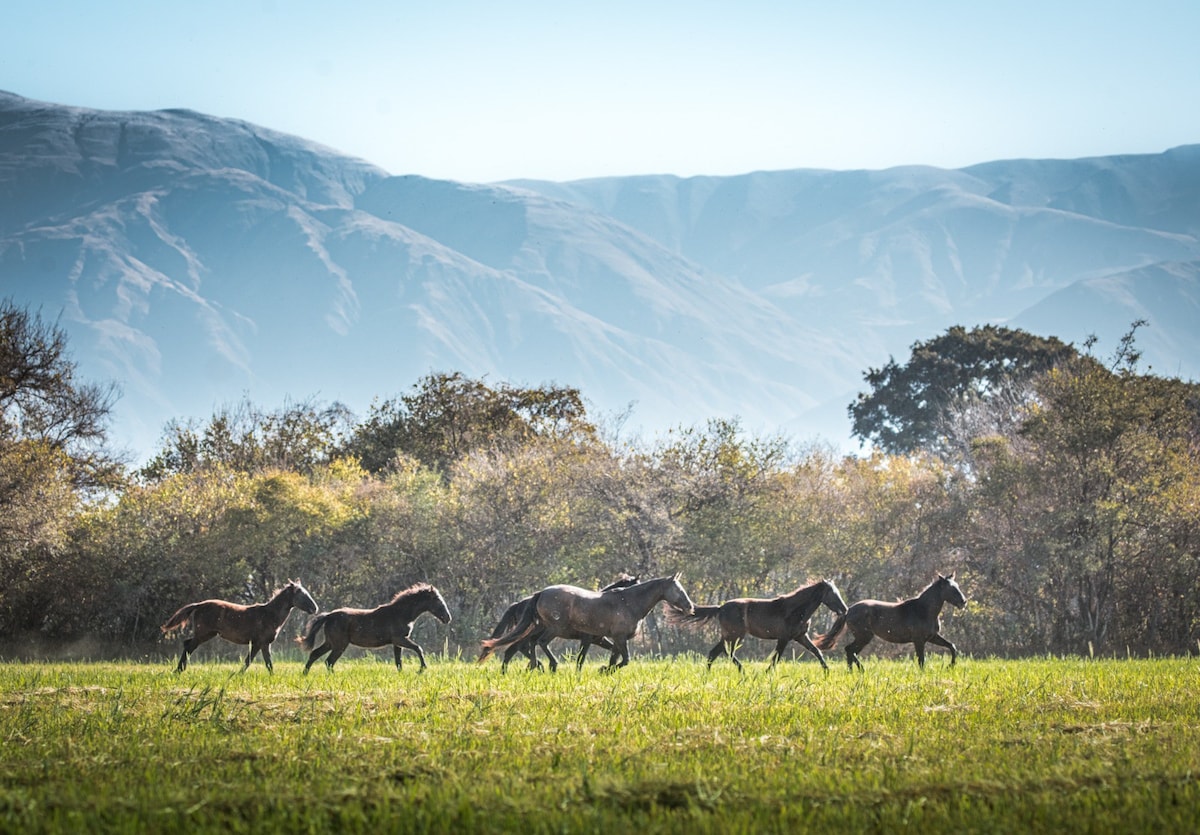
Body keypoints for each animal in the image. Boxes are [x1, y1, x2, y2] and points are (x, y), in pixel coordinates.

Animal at [160, 578, 319, 676]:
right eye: (302, 595)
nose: (315, 608)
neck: (269, 615)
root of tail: (199, 605)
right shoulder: (260, 643)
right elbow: (256, 661)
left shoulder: (261, 644)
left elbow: (261, 661)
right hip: (203, 634)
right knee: (189, 646)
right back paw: (178, 670)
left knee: (187, 644)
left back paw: (179, 670)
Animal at [297, 583, 451, 676]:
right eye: (437, 600)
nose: (448, 618)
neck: (401, 614)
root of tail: (329, 616)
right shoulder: (400, 639)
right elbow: (418, 648)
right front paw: (421, 669)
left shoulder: (397, 642)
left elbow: (398, 661)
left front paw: (402, 674)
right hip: (339, 644)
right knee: (328, 661)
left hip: (330, 643)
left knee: (315, 654)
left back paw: (305, 674)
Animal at [480, 573, 696, 671]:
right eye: (678, 590)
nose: (690, 607)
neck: (629, 603)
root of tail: (540, 593)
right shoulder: (616, 638)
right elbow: (624, 659)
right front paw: (603, 670)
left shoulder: (610, 639)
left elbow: (614, 658)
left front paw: (605, 671)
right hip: (554, 628)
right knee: (536, 644)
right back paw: (549, 665)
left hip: (542, 628)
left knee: (526, 646)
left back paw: (534, 666)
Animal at [672, 580, 849, 671]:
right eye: (832, 593)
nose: (844, 609)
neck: (794, 610)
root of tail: (720, 608)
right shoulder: (783, 638)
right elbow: (776, 658)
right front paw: (767, 673)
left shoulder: (800, 636)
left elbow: (817, 651)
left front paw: (827, 671)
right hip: (735, 635)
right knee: (726, 652)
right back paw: (742, 670)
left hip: (729, 636)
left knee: (715, 652)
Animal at [811, 571, 969, 667]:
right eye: (951, 589)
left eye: (957, 586)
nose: (963, 602)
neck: (923, 611)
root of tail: (849, 610)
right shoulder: (919, 640)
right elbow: (921, 660)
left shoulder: (932, 637)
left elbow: (952, 646)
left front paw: (950, 666)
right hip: (864, 636)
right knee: (850, 650)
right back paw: (861, 670)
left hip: (863, 637)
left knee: (850, 651)